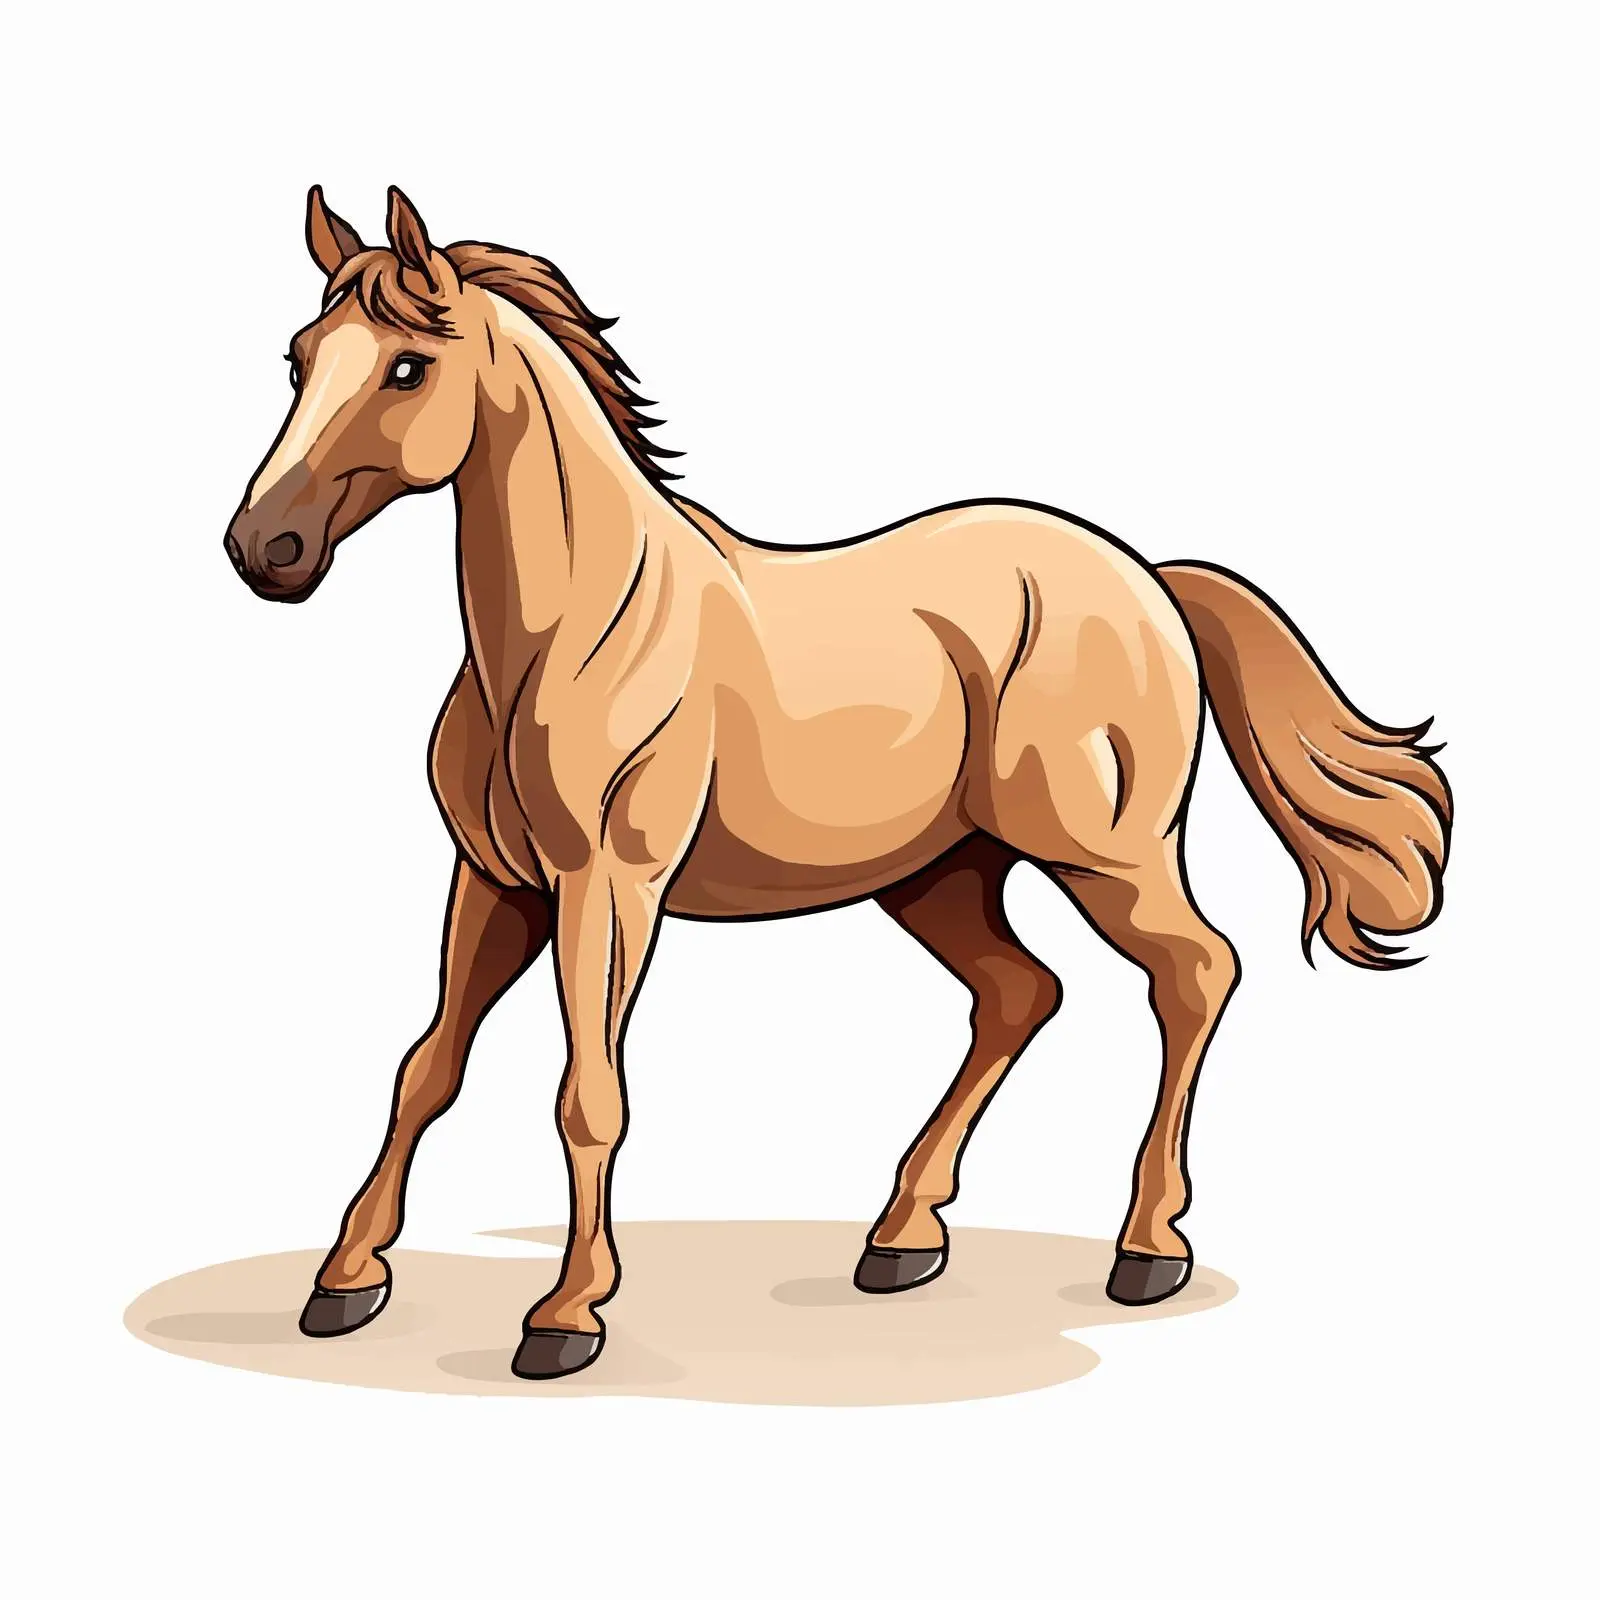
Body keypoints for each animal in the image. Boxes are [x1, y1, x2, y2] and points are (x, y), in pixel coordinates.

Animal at [223, 187, 1452, 1380]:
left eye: (406, 366)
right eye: (298, 356)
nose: (263, 549)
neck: (570, 631)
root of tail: (1147, 576)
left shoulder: (608, 886)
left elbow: (588, 1094)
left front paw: (566, 1316)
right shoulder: (496, 882)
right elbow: (426, 1067)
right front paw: (344, 1282)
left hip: (1105, 854)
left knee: (1195, 972)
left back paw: (1144, 1249)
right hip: (939, 875)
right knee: (1020, 992)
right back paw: (900, 1239)